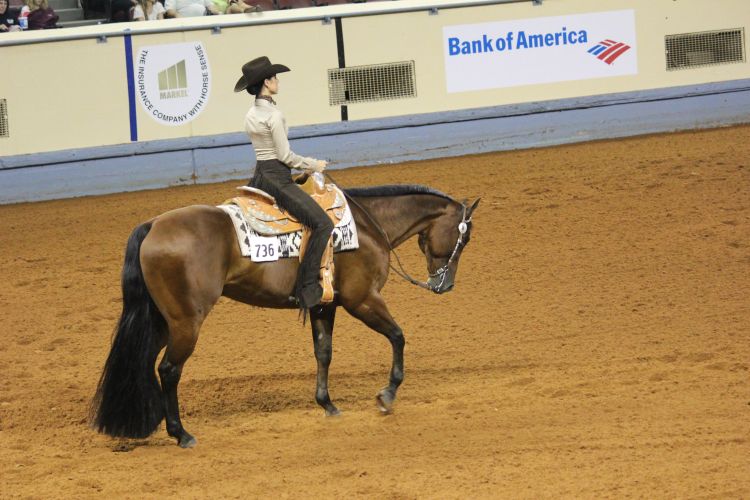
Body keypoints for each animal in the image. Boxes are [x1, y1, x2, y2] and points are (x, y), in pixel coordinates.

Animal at [92, 184, 482, 450]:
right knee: (169, 370)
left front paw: (327, 404)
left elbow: (324, 352)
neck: (366, 228)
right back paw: (181, 433)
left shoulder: (325, 306)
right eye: (464, 239)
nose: (444, 285)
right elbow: (398, 336)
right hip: (185, 323)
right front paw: (387, 395)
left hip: (161, 321)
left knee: (144, 363)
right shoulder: (363, 300)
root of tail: (153, 225)